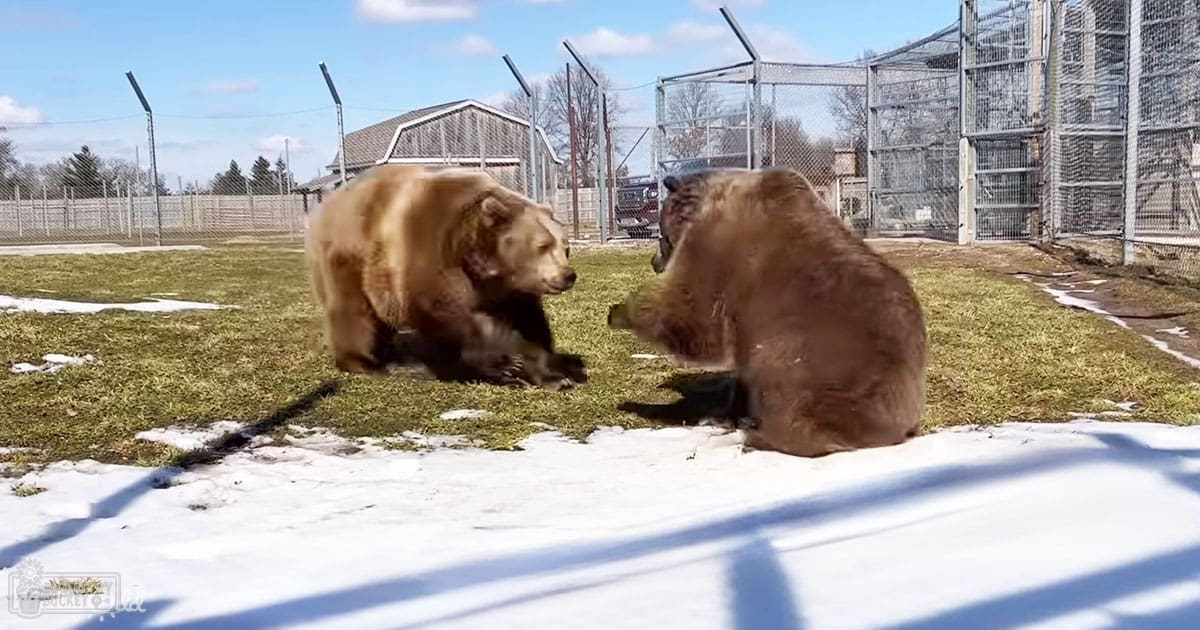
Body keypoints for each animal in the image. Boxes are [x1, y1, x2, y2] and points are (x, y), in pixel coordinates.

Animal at [305, 164, 586, 390]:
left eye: (565, 246)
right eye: (542, 246)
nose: (568, 275)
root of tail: (326, 204)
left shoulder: (510, 291)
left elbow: (530, 325)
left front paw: (558, 373)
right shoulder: (434, 258)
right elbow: (452, 320)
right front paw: (507, 365)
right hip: (351, 258)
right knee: (354, 313)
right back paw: (368, 362)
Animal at [608, 167, 927, 457]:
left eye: (661, 235)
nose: (654, 262)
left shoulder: (715, 247)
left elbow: (695, 319)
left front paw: (619, 311)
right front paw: (725, 414)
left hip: (817, 357)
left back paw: (760, 437)